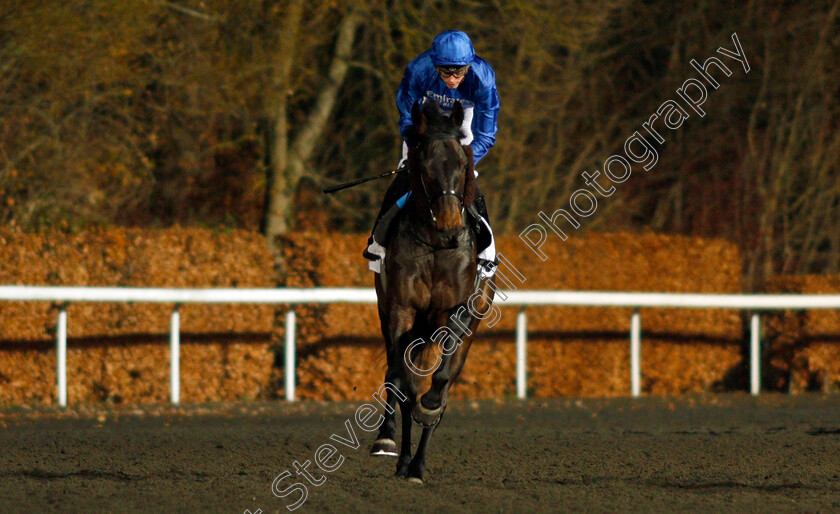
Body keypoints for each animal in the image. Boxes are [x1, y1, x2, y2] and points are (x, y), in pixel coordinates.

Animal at [370, 99, 498, 480]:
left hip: (471, 325)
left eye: (463, 164)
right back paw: (396, 450)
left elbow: (438, 384)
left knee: (445, 384)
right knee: (396, 375)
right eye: (424, 164)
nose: (451, 226)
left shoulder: (454, 312)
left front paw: (428, 409)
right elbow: (402, 382)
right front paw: (393, 446)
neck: (436, 243)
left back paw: (418, 463)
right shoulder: (400, 309)